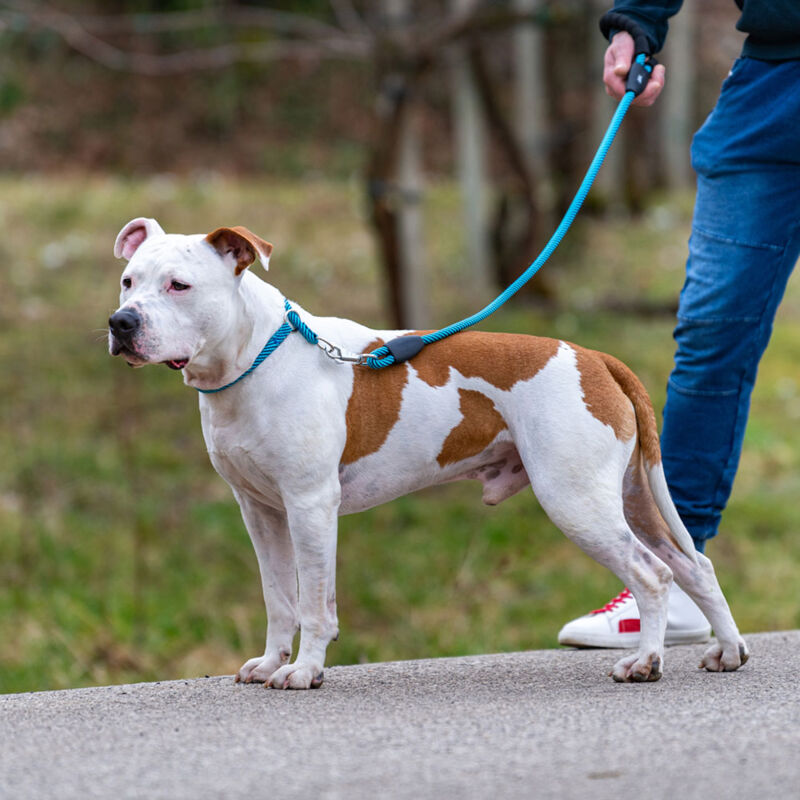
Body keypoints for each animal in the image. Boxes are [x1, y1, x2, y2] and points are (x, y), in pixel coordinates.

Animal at [108, 217, 752, 688]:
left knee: (652, 573)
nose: (120, 323)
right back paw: (727, 651)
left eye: (179, 285)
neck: (251, 359)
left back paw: (645, 662)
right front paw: (270, 663)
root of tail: (595, 358)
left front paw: (306, 671)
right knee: (693, 565)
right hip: (631, 498)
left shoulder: (309, 506)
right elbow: (279, 598)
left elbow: (313, 601)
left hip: (576, 500)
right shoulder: (260, 511)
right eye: (128, 282)